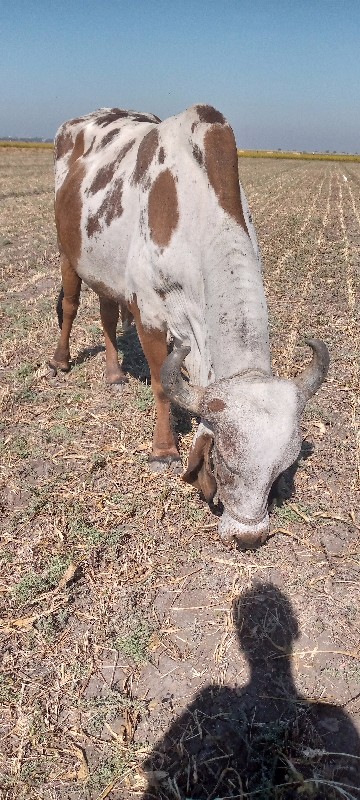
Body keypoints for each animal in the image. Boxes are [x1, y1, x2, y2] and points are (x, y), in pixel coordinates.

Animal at [50, 104, 330, 552]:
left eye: (281, 469)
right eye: (225, 463)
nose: (250, 537)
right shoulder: (148, 311)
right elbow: (164, 386)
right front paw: (163, 451)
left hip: (107, 274)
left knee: (107, 314)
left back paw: (114, 373)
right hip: (68, 251)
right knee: (72, 305)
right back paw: (60, 361)